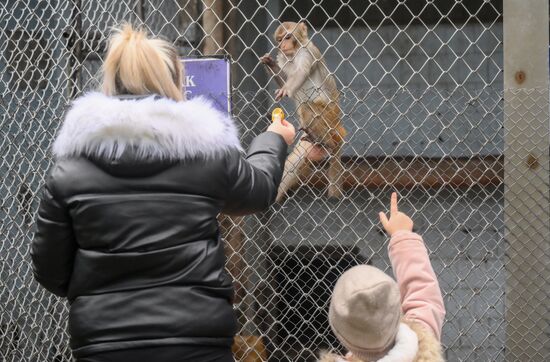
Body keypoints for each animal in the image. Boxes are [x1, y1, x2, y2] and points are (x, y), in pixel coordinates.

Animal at [260, 21, 348, 202]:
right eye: (279, 39)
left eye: (288, 37)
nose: (283, 45)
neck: (294, 54)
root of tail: (338, 124)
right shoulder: (283, 57)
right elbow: (285, 77)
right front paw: (270, 63)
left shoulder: (306, 53)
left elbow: (300, 73)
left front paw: (286, 90)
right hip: (308, 137)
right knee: (292, 164)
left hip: (330, 117)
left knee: (308, 107)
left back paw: (327, 143)